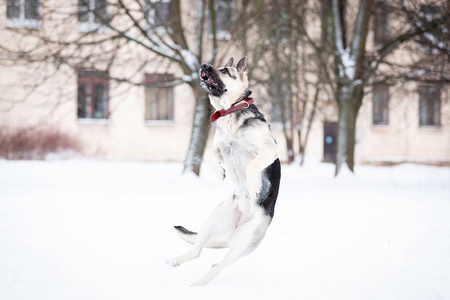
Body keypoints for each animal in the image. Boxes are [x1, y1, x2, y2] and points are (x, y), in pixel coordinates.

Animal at [169, 56, 282, 286]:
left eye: (225, 71)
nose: (203, 65)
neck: (230, 111)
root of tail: (233, 231)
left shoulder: (269, 150)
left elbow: (253, 165)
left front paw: (253, 185)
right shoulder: (218, 149)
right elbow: (208, 154)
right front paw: (219, 171)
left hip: (241, 245)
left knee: (218, 265)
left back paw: (199, 284)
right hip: (212, 220)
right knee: (197, 250)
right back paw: (177, 262)